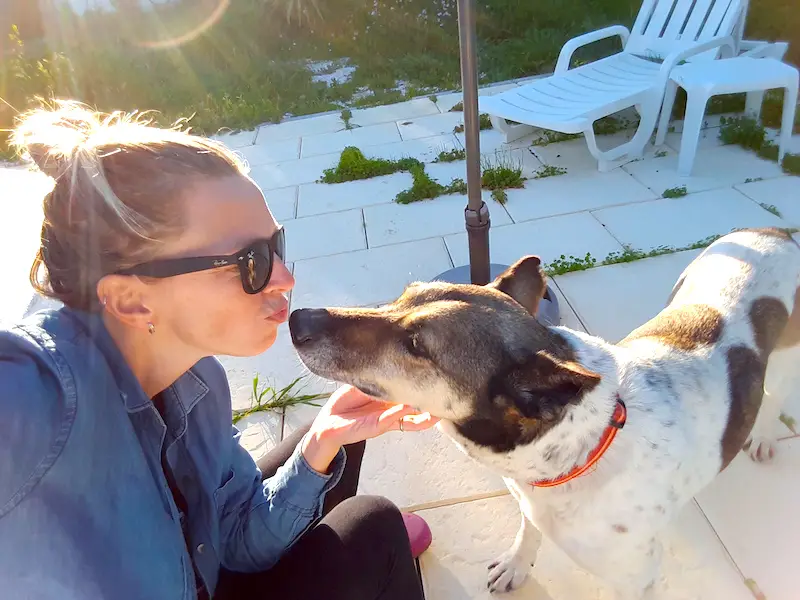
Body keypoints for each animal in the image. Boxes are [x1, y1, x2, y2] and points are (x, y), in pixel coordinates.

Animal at [288, 227, 800, 596]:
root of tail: (776, 230)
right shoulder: (529, 500)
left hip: (785, 359)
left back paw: (764, 435)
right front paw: (518, 564)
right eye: (403, 294)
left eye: (416, 345)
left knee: (774, 397)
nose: (297, 319)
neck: (581, 449)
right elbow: (528, 529)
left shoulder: (637, 580)